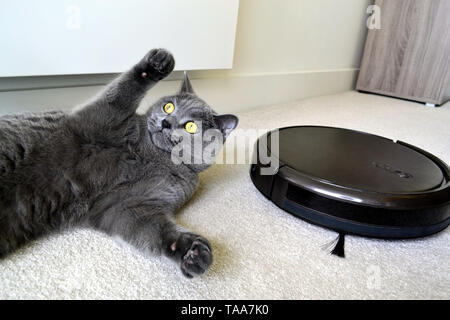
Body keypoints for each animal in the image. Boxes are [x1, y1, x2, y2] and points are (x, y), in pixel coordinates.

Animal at [0, 48, 239, 278]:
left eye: (190, 126)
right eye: (169, 107)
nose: (166, 122)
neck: (154, 156)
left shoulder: (126, 205)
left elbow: (153, 230)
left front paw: (191, 252)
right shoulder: (102, 118)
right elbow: (121, 92)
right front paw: (158, 63)